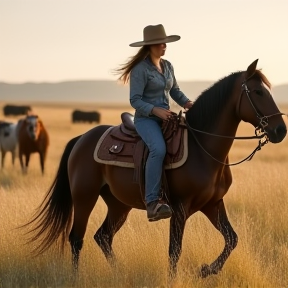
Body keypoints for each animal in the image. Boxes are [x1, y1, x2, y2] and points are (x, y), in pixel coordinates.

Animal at [23, 59, 286, 278]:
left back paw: (120, 273)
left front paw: (207, 270)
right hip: (84, 197)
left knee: (103, 236)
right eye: (259, 92)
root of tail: (82, 138)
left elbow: (232, 239)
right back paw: (77, 277)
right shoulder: (179, 208)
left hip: (119, 204)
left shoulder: (212, 204)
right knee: (77, 238)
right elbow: (174, 251)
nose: (280, 130)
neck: (202, 149)